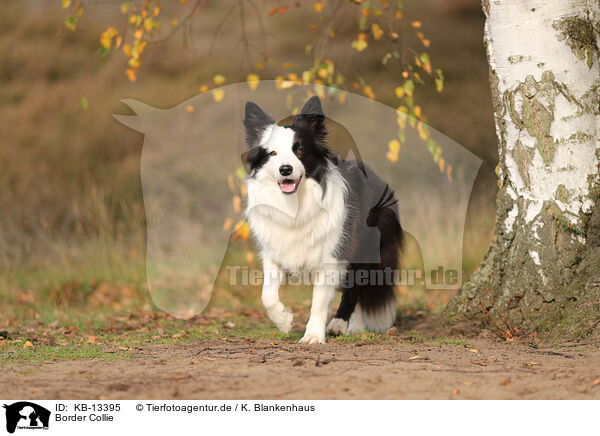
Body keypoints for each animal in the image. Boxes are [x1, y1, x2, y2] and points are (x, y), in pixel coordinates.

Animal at [241, 96, 400, 344]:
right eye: (273, 154)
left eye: (299, 150)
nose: (285, 170)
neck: (294, 204)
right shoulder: (274, 252)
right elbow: (267, 296)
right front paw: (284, 320)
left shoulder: (331, 256)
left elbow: (318, 301)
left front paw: (313, 336)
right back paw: (355, 327)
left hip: (364, 249)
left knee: (354, 289)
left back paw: (338, 323)